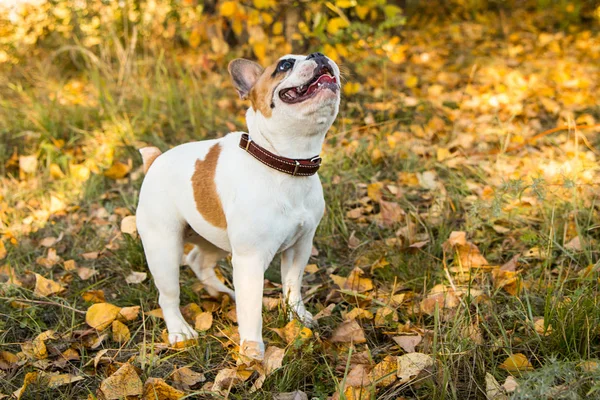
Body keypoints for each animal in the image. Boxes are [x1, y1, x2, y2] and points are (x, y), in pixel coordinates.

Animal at [137, 51, 342, 360]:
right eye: (284, 65)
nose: (318, 55)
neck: (287, 162)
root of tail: (154, 161)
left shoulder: (300, 246)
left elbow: (292, 285)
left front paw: (297, 316)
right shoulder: (250, 259)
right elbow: (251, 310)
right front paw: (252, 351)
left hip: (213, 240)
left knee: (198, 261)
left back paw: (224, 293)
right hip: (164, 247)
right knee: (168, 295)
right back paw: (180, 331)